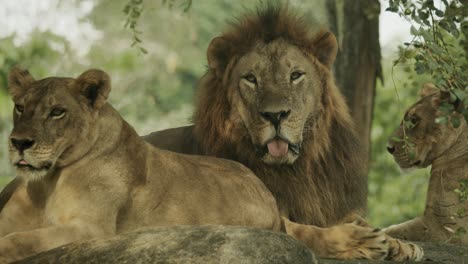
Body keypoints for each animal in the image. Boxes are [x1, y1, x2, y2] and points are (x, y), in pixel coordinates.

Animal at [0, 68, 392, 262]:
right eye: (20, 107)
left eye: (57, 111)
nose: (19, 143)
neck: (46, 182)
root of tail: (262, 187)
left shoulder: (93, 230)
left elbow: (21, 240)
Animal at [144, 4, 422, 262]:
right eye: (250, 78)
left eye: (295, 75)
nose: (275, 115)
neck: (298, 171)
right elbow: (307, 231)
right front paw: (365, 240)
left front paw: (402, 245)